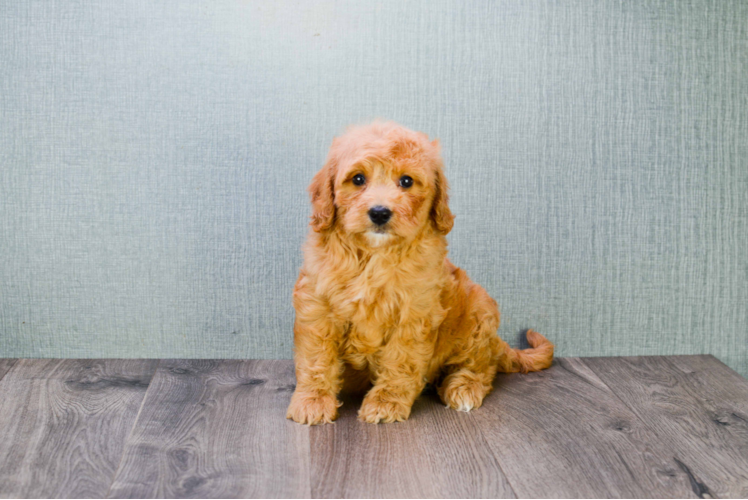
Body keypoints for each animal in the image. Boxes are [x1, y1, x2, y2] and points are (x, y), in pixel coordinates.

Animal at [284, 120, 552, 422]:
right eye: (358, 179)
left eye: (406, 181)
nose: (379, 212)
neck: (375, 256)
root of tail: (497, 343)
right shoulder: (316, 306)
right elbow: (316, 358)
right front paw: (312, 401)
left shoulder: (414, 312)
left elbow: (402, 360)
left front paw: (386, 402)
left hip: (478, 314)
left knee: (482, 366)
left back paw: (464, 389)